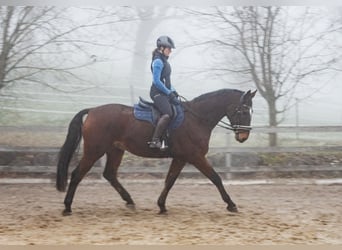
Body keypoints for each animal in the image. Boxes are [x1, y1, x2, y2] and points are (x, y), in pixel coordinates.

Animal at [56, 88, 256, 215]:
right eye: (243, 111)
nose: (244, 136)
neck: (196, 118)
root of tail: (93, 111)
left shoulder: (181, 158)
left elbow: (170, 180)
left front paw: (161, 206)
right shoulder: (196, 157)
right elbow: (216, 178)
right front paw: (231, 205)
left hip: (115, 150)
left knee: (110, 174)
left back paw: (130, 201)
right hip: (94, 151)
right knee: (77, 174)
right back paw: (67, 207)